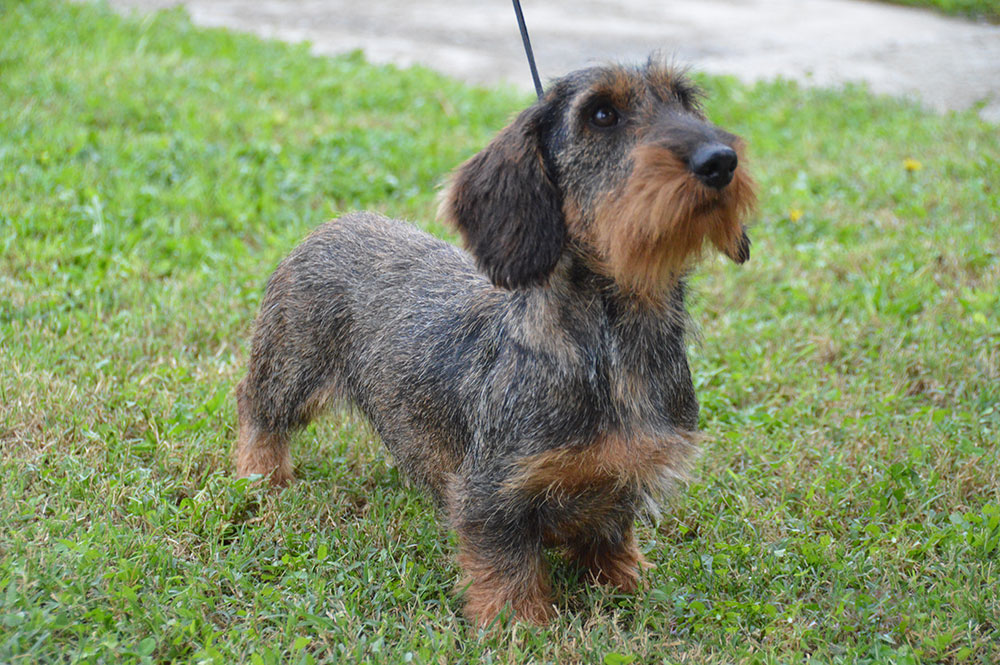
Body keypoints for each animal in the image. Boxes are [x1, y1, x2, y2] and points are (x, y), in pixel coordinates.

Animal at [234, 59, 752, 624]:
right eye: (601, 114)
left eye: (685, 101)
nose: (720, 160)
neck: (614, 348)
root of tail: (334, 224)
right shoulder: (493, 492)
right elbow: (507, 565)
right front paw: (519, 624)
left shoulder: (622, 477)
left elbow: (609, 536)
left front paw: (622, 584)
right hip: (290, 370)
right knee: (257, 412)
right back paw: (260, 477)